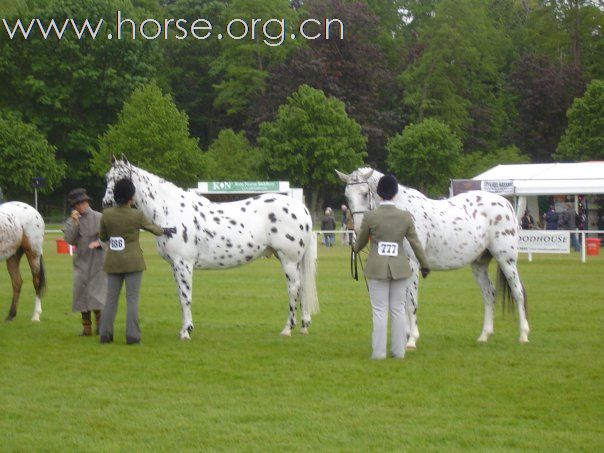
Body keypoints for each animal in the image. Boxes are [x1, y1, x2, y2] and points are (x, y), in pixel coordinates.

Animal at [101, 156, 318, 340]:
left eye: (122, 179)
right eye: (107, 178)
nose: (106, 202)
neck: (170, 211)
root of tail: (302, 208)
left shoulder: (183, 264)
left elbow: (186, 296)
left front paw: (186, 332)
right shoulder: (174, 266)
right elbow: (180, 297)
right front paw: (185, 328)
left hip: (289, 259)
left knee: (294, 289)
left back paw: (287, 329)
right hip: (294, 261)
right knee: (302, 289)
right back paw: (304, 327)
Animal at [338, 168, 532, 344]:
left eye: (365, 194)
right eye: (347, 196)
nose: (358, 228)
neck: (398, 211)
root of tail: (506, 203)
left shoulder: (412, 264)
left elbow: (411, 301)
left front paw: (412, 339)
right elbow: (402, 301)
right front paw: (404, 336)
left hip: (506, 260)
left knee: (518, 293)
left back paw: (523, 335)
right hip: (479, 264)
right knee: (489, 294)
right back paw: (484, 336)